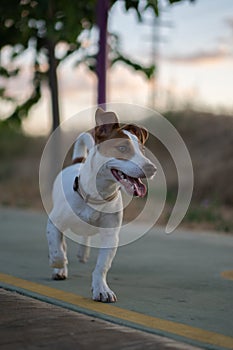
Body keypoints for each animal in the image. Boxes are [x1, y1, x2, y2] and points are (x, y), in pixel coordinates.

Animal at [46, 108, 157, 302]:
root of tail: (77, 161)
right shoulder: (53, 223)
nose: (151, 169)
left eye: (142, 150)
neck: (97, 196)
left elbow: (102, 266)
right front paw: (58, 264)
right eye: (122, 148)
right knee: (62, 244)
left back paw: (83, 252)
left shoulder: (111, 236)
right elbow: (58, 250)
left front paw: (101, 289)